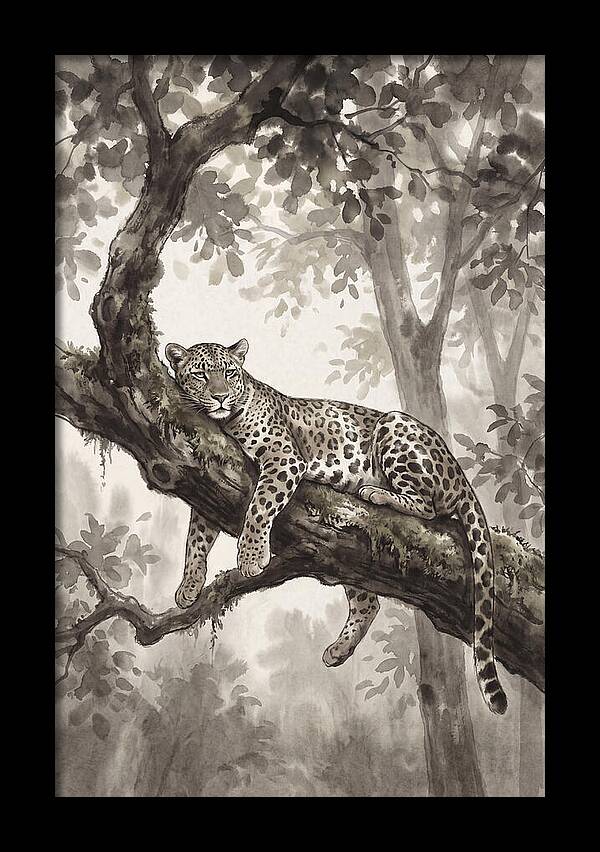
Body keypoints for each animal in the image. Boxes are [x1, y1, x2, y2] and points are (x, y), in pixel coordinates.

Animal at [166, 337, 508, 715]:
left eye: (228, 373)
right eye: (200, 374)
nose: (221, 397)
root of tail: (459, 471)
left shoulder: (284, 458)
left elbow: (259, 507)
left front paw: (252, 557)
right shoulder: (211, 476)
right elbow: (196, 538)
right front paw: (189, 586)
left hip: (394, 427)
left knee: (427, 506)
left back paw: (376, 492)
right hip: (348, 557)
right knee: (368, 603)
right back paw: (338, 650)